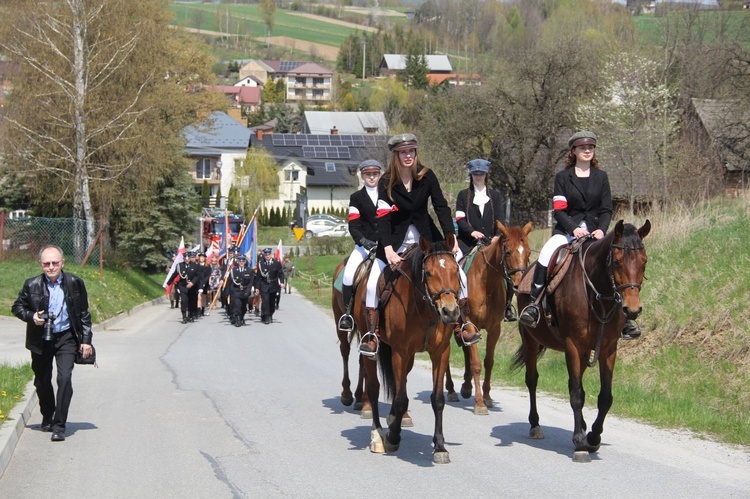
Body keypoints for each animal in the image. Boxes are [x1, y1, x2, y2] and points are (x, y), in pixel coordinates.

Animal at [354, 234, 464, 464]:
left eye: (455, 270)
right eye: (429, 273)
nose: (450, 312)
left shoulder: (441, 353)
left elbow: (437, 399)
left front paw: (440, 447)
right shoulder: (400, 352)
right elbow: (401, 399)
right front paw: (392, 438)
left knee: (399, 383)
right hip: (372, 349)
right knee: (374, 388)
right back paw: (378, 435)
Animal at [446, 222, 536, 414]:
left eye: (528, 252)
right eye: (508, 251)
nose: (519, 284)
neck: (486, 283)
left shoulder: (494, 328)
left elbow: (488, 362)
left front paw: (487, 397)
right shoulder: (471, 324)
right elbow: (476, 363)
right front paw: (480, 403)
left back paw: (466, 386)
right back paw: (451, 390)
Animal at [516, 221, 652, 462]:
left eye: (644, 261)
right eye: (617, 261)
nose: (632, 310)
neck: (598, 294)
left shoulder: (608, 349)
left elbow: (605, 397)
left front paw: (593, 437)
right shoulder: (572, 344)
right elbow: (578, 395)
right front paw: (580, 443)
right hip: (531, 341)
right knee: (532, 380)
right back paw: (535, 425)